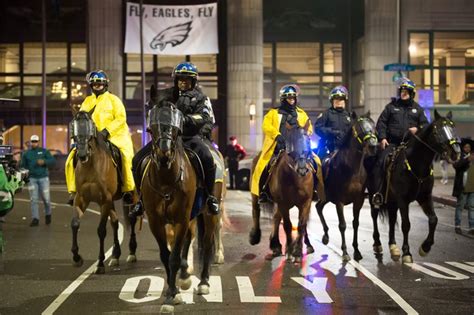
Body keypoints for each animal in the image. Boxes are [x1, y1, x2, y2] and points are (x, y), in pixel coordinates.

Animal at [70, 112, 139, 276]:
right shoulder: (81, 198)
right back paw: (115, 256)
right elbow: (75, 224)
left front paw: (100, 263)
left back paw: (132, 252)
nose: (82, 154)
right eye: (74, 129)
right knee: (115, 222)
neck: (90, 165)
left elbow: (101, 230)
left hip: (132, 196)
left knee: (132, 219)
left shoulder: (104, 200)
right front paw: (77, 257)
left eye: (90, 129)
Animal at [142, 99, 219, 314]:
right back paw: (185, 277)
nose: (164, 153)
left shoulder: (181, 219)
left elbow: (174, 257)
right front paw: (174, 290)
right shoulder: (156, 222)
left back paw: (204, 282)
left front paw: (171, 297)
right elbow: (165, 256)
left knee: (207, 243)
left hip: (208, 214)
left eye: (176, 125)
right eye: (152, 126)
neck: (166, 180)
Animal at [248, 119, 314, 262]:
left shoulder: (306, 202)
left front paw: (297, 252)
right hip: (256, 195)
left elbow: (301, 225)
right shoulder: (283, 203)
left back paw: (276, 245)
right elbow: (288, 226)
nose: (302, 169)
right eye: (291, 144)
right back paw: (255, 236)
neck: (296, 179)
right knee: (256, 211)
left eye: (308, 141)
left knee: (276, 217)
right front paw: (290, 251)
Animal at [314, 111, 378, 262]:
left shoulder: (358, 200)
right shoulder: (339, 201)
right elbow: (342, 225)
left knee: (318, 207)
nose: (373, 145)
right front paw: (345, 252)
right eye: (360, 128)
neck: (351, 169)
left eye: (373, 126)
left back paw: (326, 236)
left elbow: (355, 223)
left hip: (325, 197)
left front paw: (357, 251)